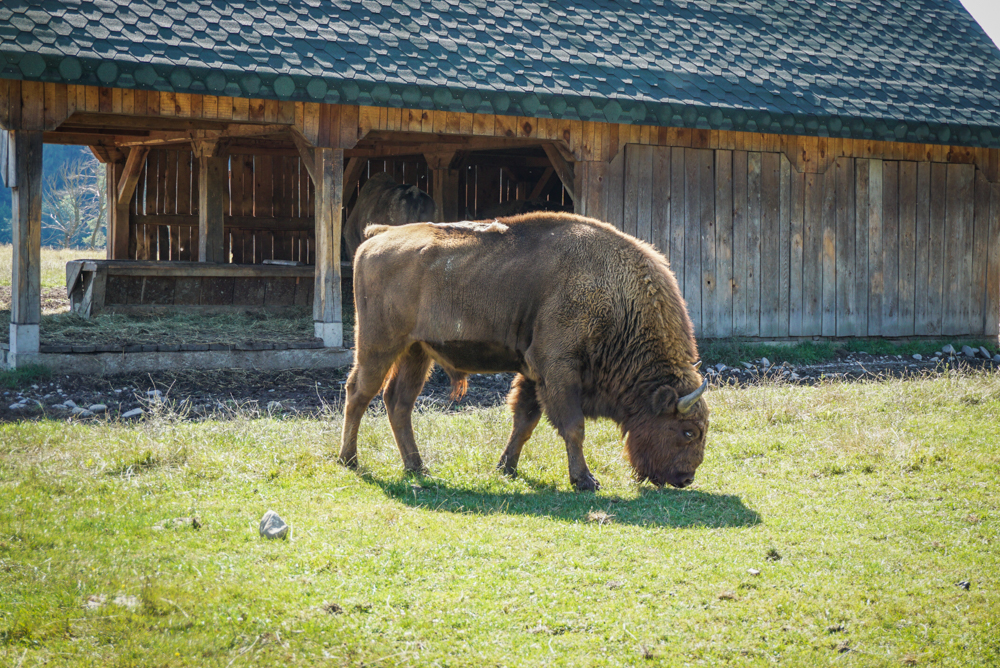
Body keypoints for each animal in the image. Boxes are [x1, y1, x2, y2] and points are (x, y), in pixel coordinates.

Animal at [342, 213, 712, 490]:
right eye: (688, 431)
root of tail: (378, 236)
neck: (615, 295)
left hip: (416, 352)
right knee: (359, 392)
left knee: (398, 402)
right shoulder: (558, 369)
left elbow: (524, 421)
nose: (685, 478)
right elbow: (573, 426)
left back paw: (417, 468)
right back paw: (349, 460)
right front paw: (585, 480)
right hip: (379, 345)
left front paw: (506, 467)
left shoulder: (535, 375)